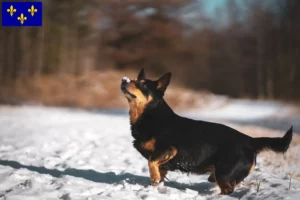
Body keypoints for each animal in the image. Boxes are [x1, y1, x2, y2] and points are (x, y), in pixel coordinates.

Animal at [120, 69, 292, 195]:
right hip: (220, 175)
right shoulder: (163, 163)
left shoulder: (168, 149)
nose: (123, 80)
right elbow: (157, 171)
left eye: (142, 84)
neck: (151, 115)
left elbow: (151, 162)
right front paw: (156, 187)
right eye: (133, 80)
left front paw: (154, 180)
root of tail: (250, 140)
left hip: (224, 174)